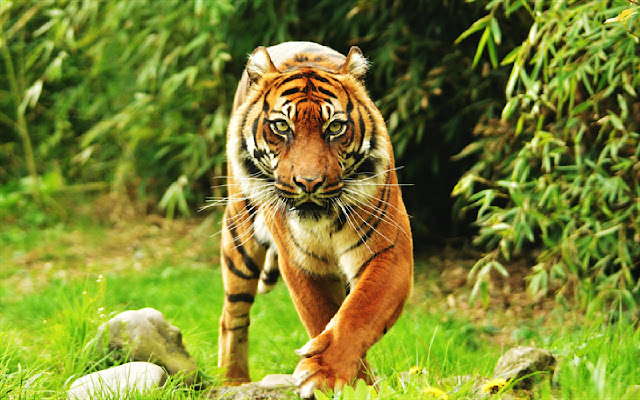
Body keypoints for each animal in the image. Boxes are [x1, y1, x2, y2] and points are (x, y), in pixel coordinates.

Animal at [218, 41, 413, 398]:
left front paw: (329, 374)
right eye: (282, 126)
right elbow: (322, 314)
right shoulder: (302, 263)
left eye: (335, 127)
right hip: (239, 235)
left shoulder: (389, 253)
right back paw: (233, 381)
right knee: (232, 314)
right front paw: (348, 381)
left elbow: (359, 313)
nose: (309, 183)